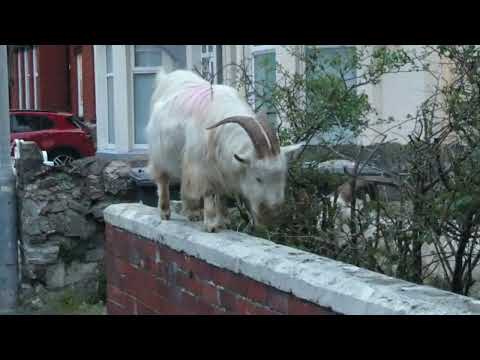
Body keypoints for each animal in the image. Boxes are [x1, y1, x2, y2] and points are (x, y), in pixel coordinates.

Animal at [146, 69, 300, 232]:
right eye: (258, 178)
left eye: (282, 177)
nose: (271, 219)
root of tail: (165, 78)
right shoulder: (202, 167)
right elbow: (208, 192)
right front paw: (211, 225)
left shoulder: (223, 169)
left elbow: (222, 195)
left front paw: (225, 222)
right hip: (160, 154)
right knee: (163, 179)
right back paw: (165, 212)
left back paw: (192, 213)